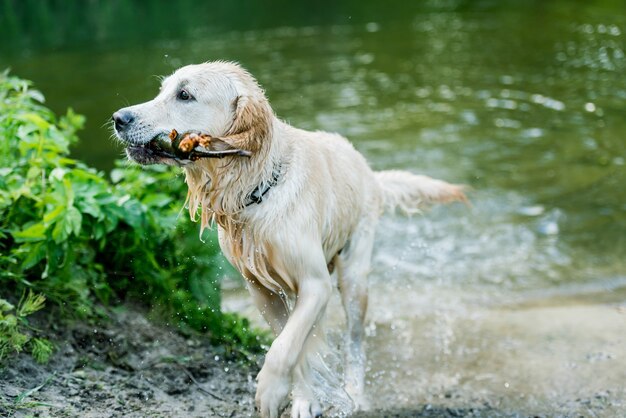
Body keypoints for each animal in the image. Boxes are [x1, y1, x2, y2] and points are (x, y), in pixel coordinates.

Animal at [111, 61, 464, 418]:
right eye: (162, 91)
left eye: (184, 95)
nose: (119, 117)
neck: (257, 186)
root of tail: (367, 171)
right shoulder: (261, 289)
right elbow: (294, 345)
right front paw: (303, 398)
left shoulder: (315, 284)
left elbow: (284, 348)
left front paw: (269, 390)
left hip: (354, 276)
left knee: (354, 339)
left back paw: (355, 393)